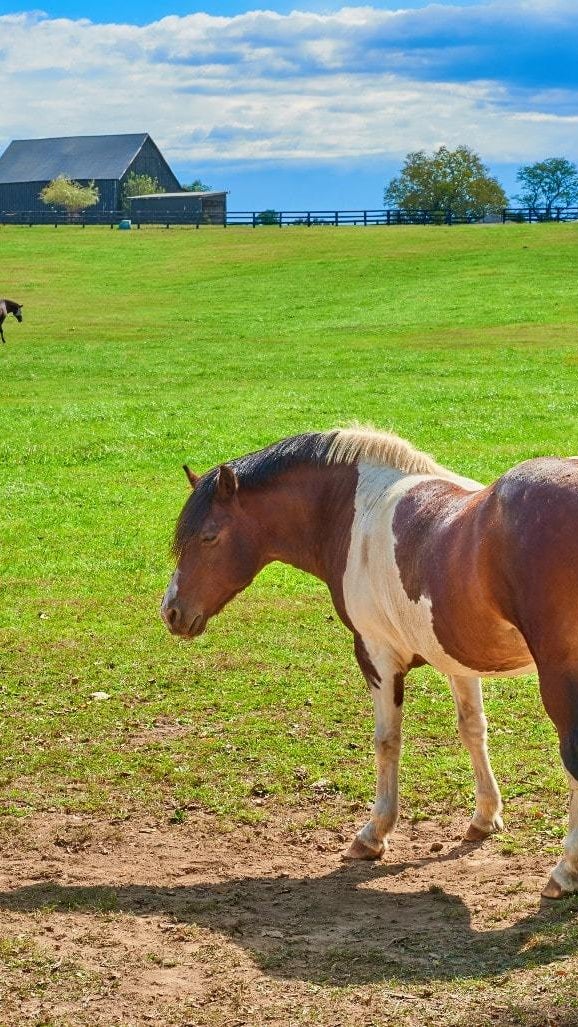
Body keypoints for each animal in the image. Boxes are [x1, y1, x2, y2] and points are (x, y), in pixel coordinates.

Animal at [161, 427, 578, 899]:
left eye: (209, 536)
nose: (171, 611)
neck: (356, 511)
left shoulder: (377, 655)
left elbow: (386, 742)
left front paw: (374, 833)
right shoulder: (457, 659)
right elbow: (473, 730)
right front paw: (485, 818)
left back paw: (565, 870)